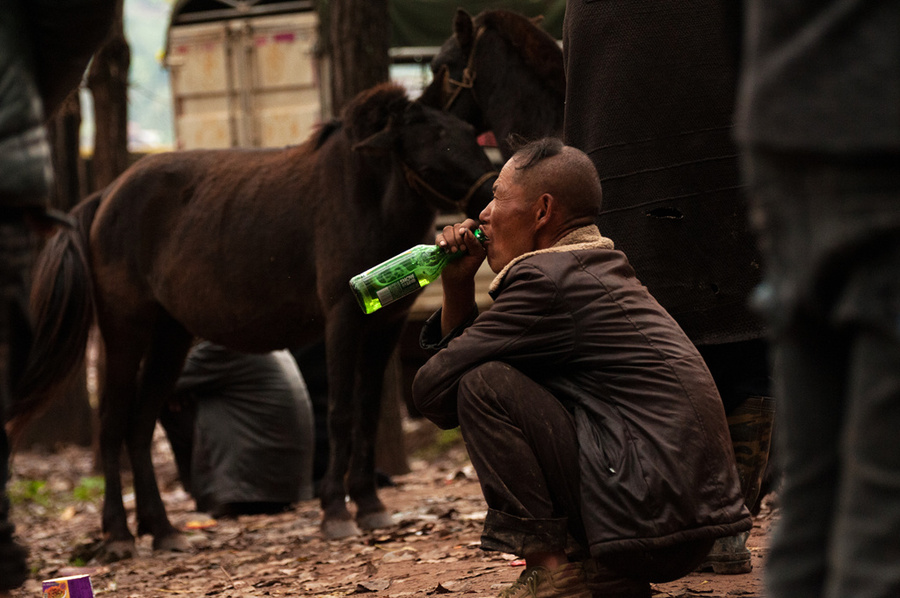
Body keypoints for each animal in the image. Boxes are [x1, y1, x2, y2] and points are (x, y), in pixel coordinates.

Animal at [12, 82, 492, 560]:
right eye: (432, 146)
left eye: (470, 133)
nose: (489, 199)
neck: (364, 194)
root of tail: (104, 196)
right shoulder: (342, 319)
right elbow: (340, 412)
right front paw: (336, 511)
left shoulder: (384, 328)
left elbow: (369, 413)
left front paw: (369, 504)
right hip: (124, 331)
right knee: (112, 424)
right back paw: (118, 535)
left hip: (170, 336)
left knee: (140, 425)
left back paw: (163, 529)